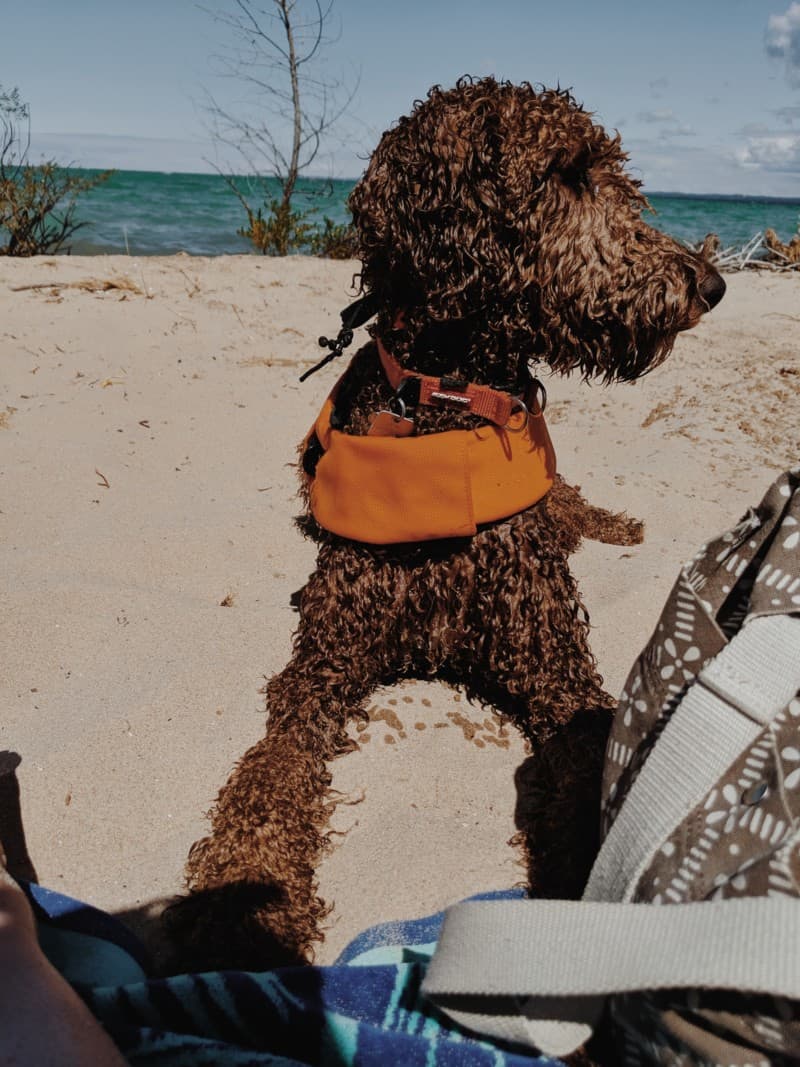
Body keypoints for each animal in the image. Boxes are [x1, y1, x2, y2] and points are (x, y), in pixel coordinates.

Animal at [169, 77, 725, 977]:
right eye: (567, 174)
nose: (708, 282)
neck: (448, 399)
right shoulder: (318, 672)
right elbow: (269, 776)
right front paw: (240, 905)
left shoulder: (558, 670)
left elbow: (586, 770)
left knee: (568, 499)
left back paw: (615, 522)